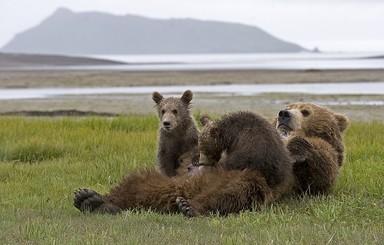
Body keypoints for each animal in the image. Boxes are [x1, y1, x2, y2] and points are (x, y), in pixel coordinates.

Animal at [73, 111, 292, 216]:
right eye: (200, 148)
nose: (200, 163)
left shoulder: (255, 149)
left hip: (249, 184)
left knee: (230, 192)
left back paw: (189, 207)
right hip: (166, 182)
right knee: (137, 184)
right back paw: (91, 200)